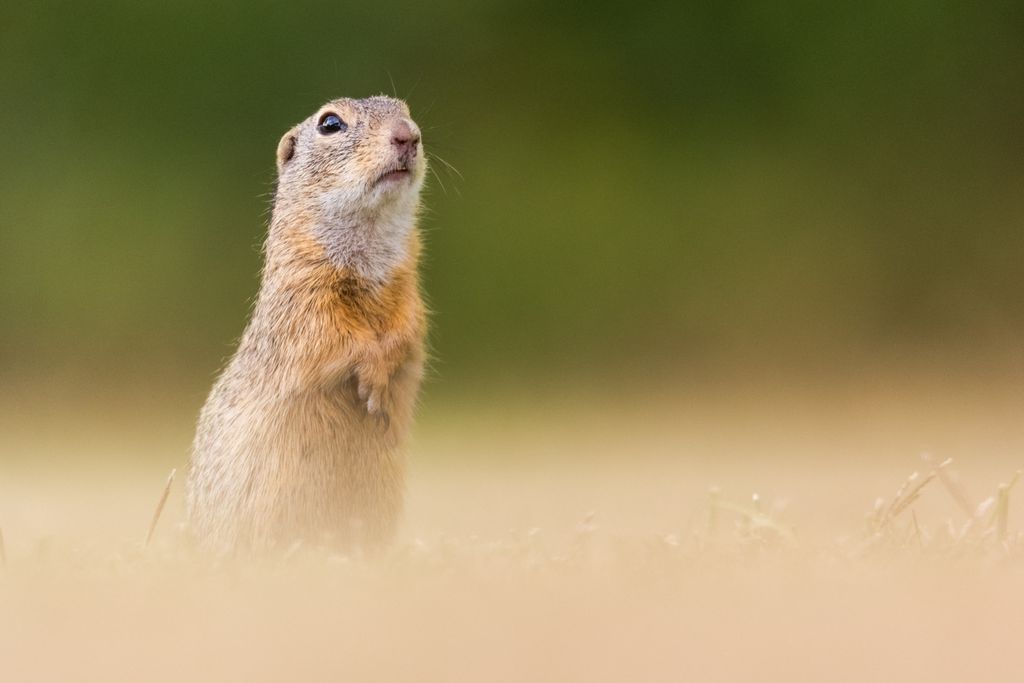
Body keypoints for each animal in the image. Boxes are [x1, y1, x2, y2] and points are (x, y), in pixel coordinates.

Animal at [187, 96, 428, 557]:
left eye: (406, 109)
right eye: (330, 123)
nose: (408, 135)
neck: (370, 245)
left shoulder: (409, 290)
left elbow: (407, 330)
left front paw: (385, 372)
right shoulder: (304, 297)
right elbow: (331, 339)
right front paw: (373, 378)